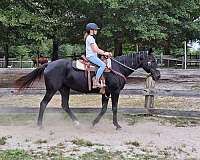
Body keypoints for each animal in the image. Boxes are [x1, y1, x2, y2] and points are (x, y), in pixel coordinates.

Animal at [15, 48, 160, 129]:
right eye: (152, 60)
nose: (158, 75)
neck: (117, 68)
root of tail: (48, 65)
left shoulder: (106, 92)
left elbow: (103, 109)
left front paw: (93, 123)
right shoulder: (115, 91)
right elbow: (114, 108)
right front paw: (117, 125)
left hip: (64, 89)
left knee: (65, 105)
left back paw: (77, 123)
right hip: (52, 90)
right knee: (43, 103)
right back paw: (40, 125)